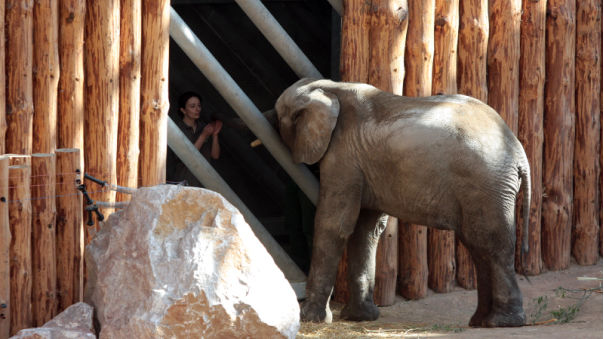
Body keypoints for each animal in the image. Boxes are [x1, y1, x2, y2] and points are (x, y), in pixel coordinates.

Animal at [272, 78, 532, 328]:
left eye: (278, 115)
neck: (327, 86)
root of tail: (519, 152)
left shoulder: (343, 156)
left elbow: (334, 225)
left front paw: (309, 318)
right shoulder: (365, 166)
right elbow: (366, 230)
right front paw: (360, 317)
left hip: (486, 183)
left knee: (491, 245)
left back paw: (502, 322)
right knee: (478, 246)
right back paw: (479, 321)